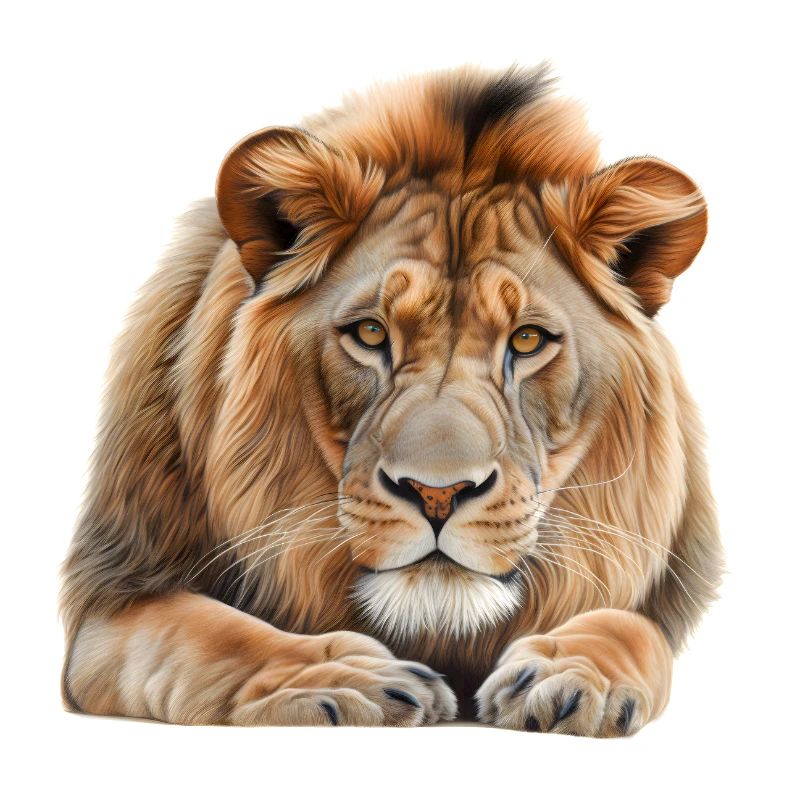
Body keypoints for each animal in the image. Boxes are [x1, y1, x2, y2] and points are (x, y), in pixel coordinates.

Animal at [61, 64, 723, 735]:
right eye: (372, 334)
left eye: (528, 340)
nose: (437, 494)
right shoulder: (114, 598)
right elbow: (221, 635)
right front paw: (345, 676)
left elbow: (631, 627)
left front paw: (572, 676)